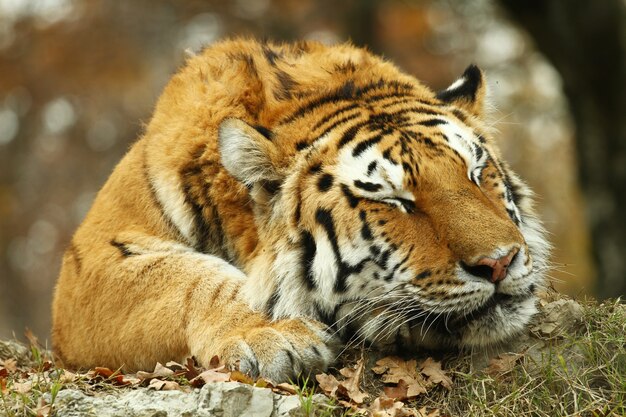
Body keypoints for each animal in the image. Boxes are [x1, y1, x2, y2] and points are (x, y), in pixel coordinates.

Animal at [52, 38, 544, 380]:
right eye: (393, 200)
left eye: (475, 172)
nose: (500, 263)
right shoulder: (92, 261)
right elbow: (188, 279)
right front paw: (270, 335)